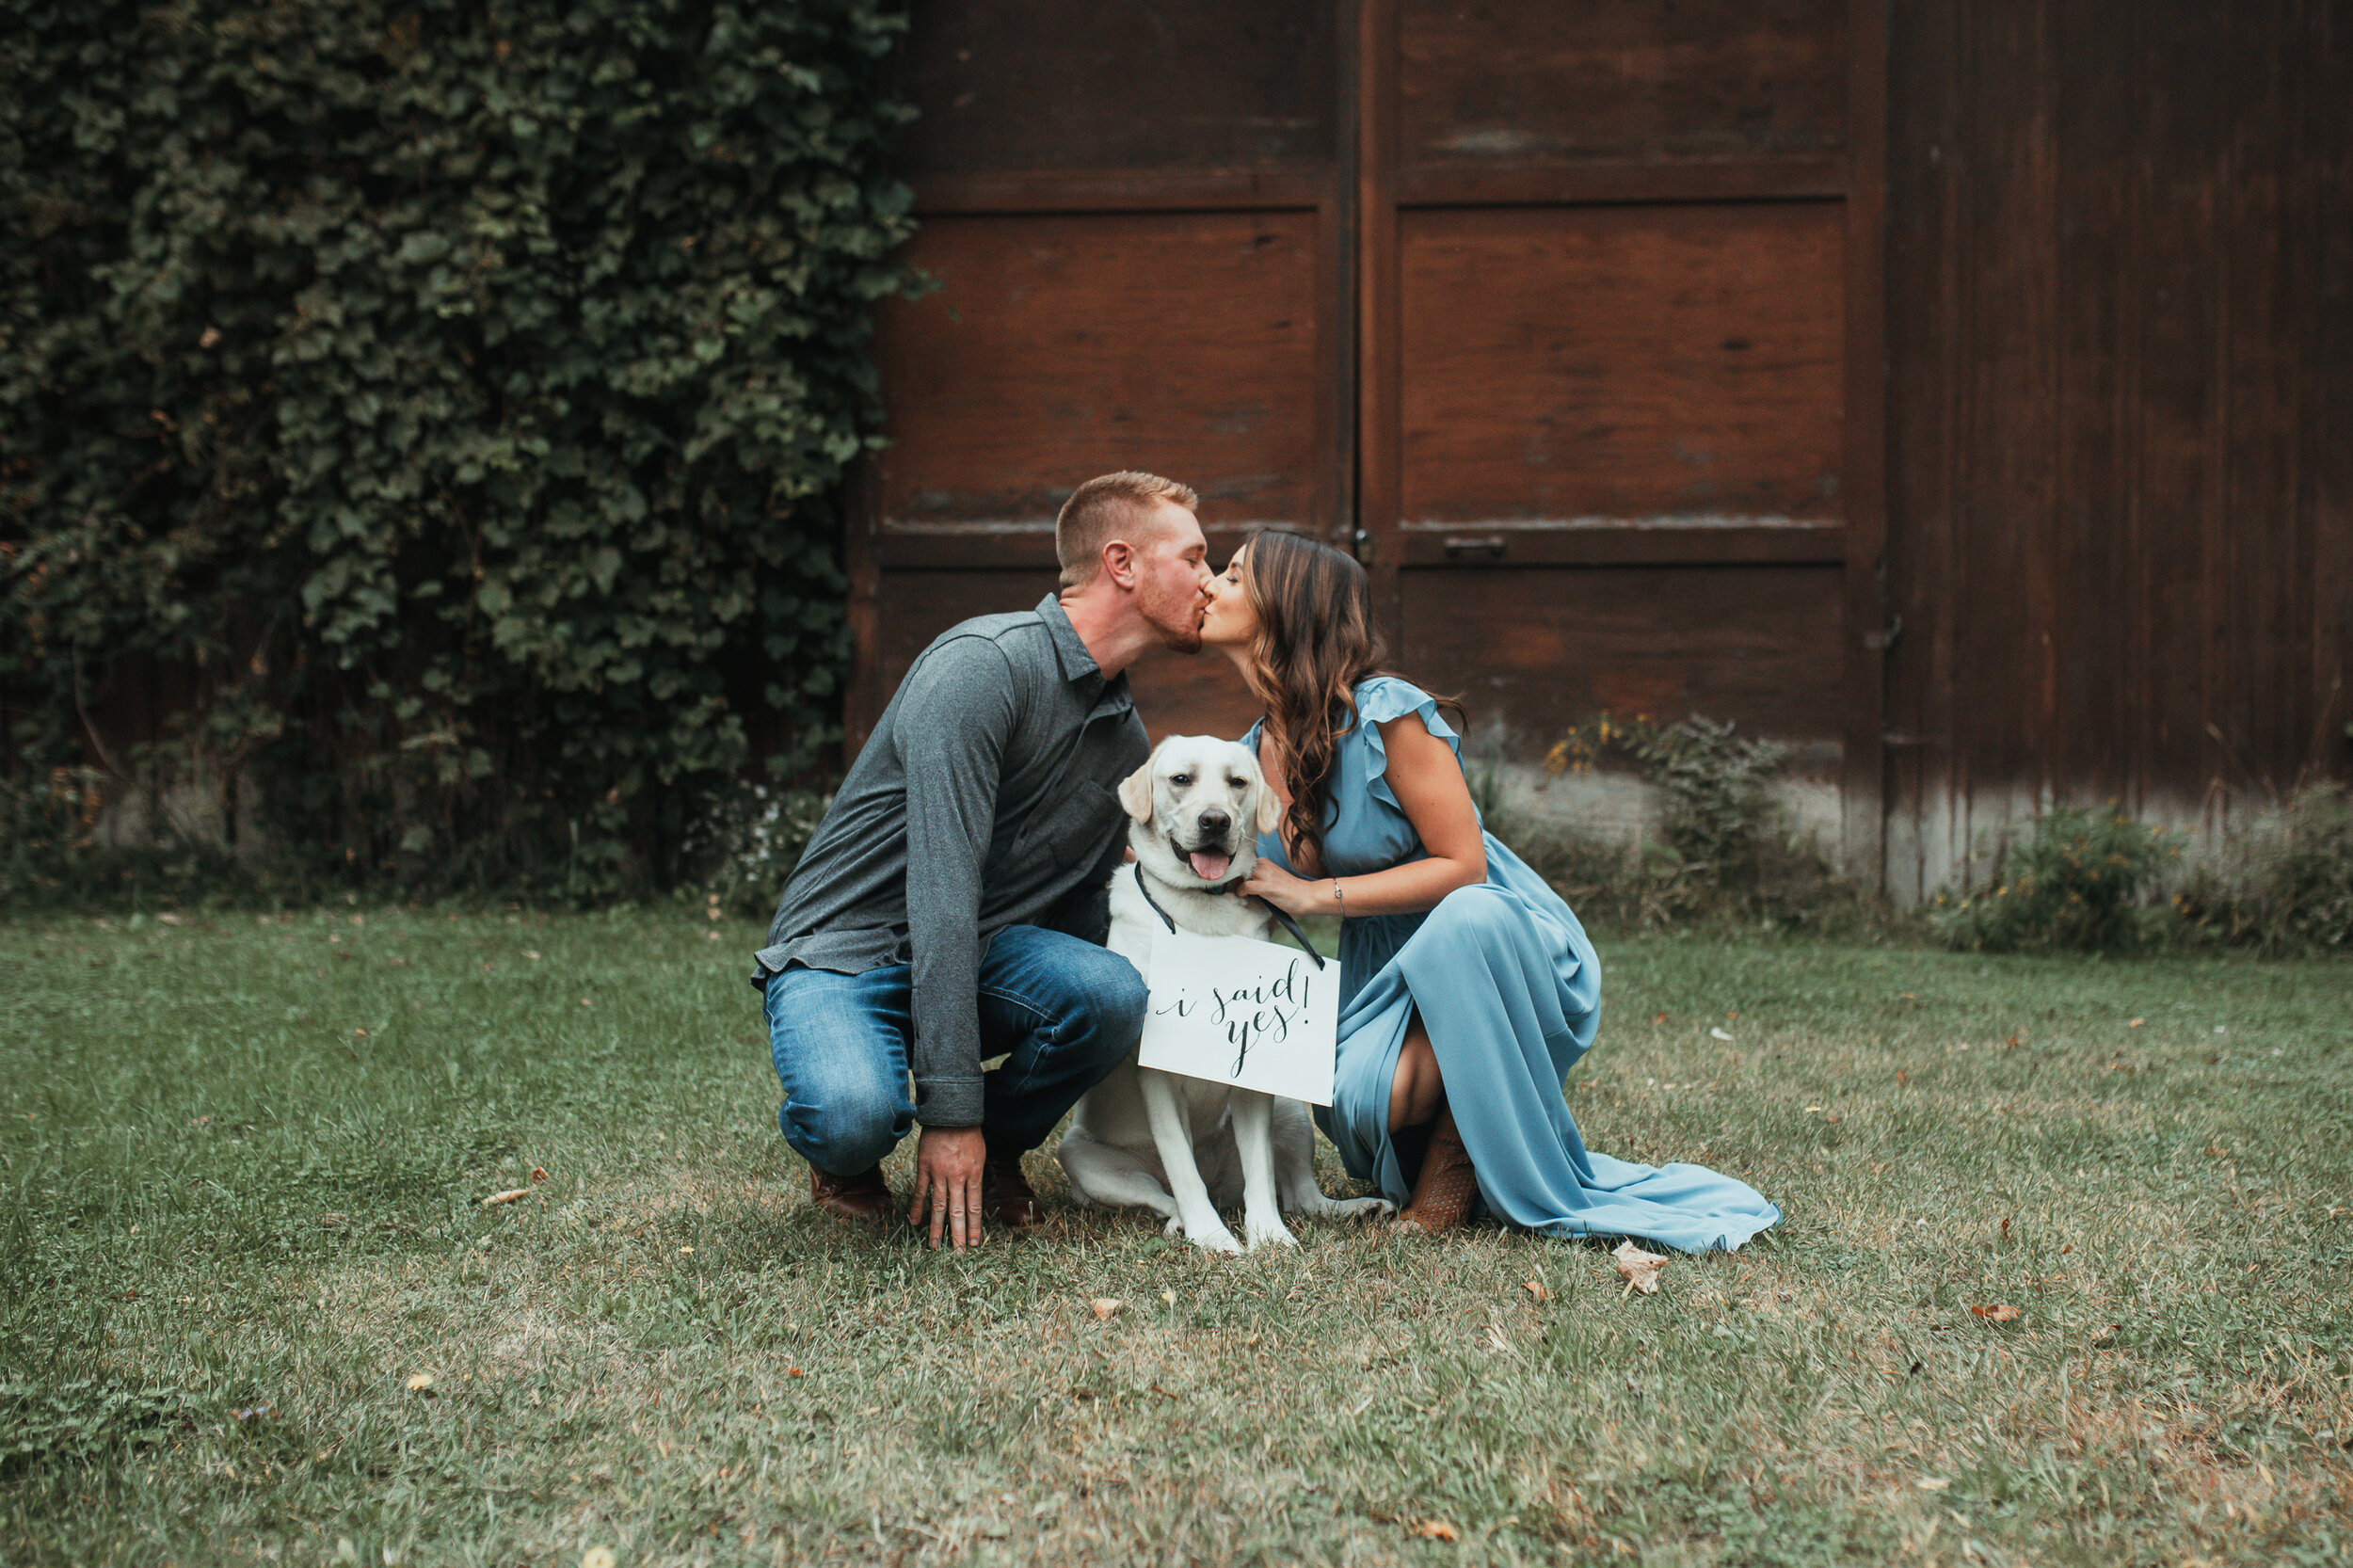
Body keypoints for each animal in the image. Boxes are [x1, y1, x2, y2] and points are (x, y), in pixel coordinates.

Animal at [1054, 734, 1393, 1261]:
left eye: (1238, 782)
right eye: (1181, 779)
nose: (1215, 821)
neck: (1202, 905)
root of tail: (1220, 1187)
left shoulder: (1256, 1082)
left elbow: (1261, 1171)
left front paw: (1269, 1236)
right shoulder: (1157, 1075)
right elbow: (1181, 1165)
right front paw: (1213, 1237)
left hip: (1291, 1111)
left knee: (1302, 1195)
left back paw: (1355, 1208)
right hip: (1084, 1157)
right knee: (1165, 1196)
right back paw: (1184, 1223)